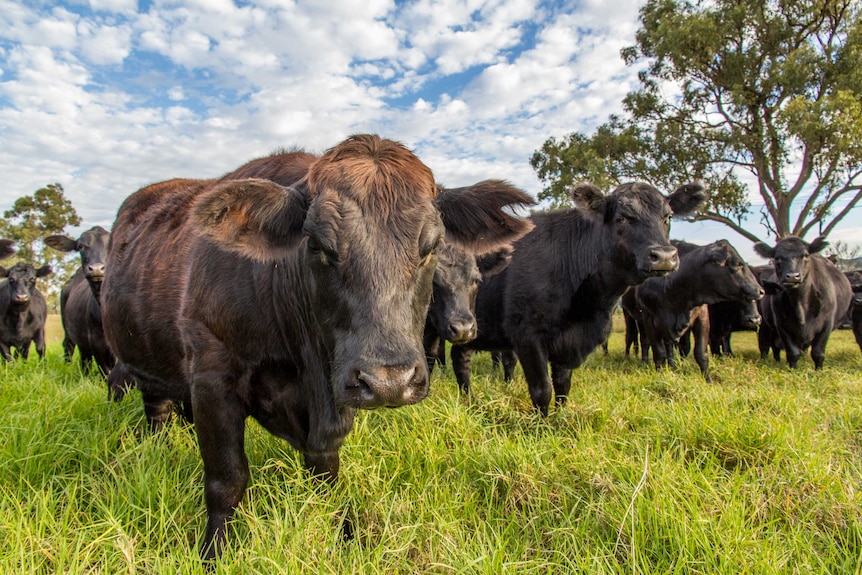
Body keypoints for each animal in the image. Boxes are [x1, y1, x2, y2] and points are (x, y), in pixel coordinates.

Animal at [99, 133, 532, 560]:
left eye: (431, 246)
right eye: (319, 246)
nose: (390, 381)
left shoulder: (333, 398)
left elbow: (325, 471)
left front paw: (341, 534)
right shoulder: (212, 377)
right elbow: (227, 478)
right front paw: (214, 552)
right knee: (156, 412)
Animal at [448, 180, 704, 414]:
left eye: (668, 217)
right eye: (621, 218)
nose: (664, 256)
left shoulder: (568, 342)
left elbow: (563, 384)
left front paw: (560, 418)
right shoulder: (527, 335)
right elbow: (542, 389)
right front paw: (541, 425)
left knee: (460, 357)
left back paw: (468, 399)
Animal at [624, 240, 768, 382]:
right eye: (737, 264)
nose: (761, 291)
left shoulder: (701, 318)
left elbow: (699, 352)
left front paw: (708, 380)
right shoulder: (649, 319)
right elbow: (659, 353)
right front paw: (660, 375)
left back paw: (672, 365)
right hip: (633, 318)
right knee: (641, 340)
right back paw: (644, 362)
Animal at [752, 237, 852, 368]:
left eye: (805, 255)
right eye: (777, 258)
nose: (792, 276)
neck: (801, 305)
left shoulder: (827, 324)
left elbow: (818, 352)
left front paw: (819, 370)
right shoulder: (781, 325)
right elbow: (793, 353)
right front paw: (793, 369)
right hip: (765, 325)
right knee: (767, 345)